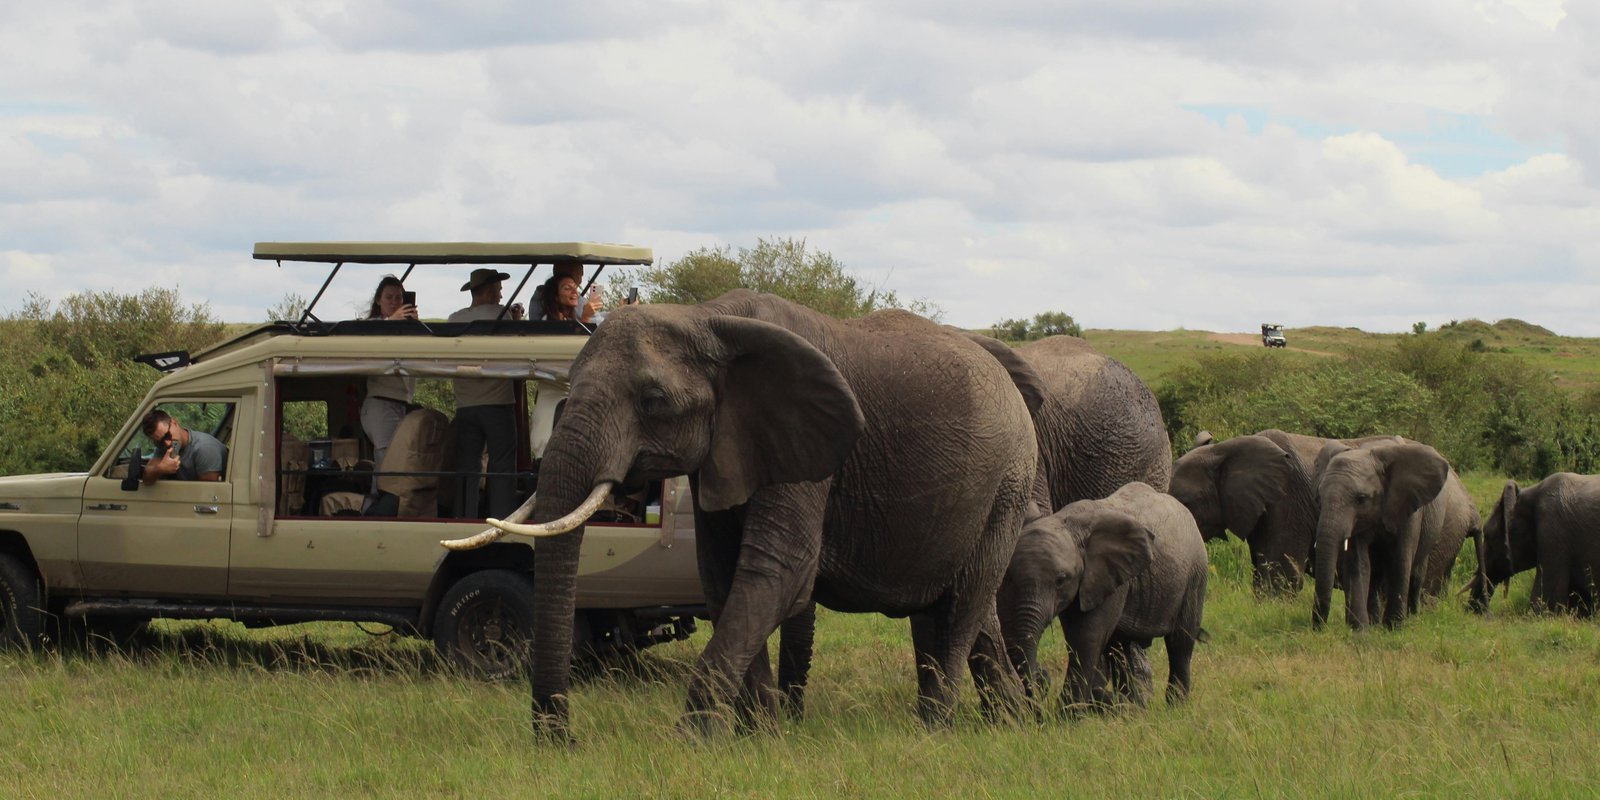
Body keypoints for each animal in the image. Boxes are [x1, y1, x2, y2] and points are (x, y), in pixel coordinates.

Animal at [446, 289, 1040, 739]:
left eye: (654, 402)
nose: (562, 740)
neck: (705, 317)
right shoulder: (728, 450)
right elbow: (722, 576)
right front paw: (760, 738)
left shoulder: (807, 449)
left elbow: (778, 572)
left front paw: (691, 743)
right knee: (956, 607)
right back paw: (1010, 724)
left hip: (1007, 483)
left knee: (962, 605)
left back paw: (934, 729)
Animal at [996, 482, 1208, 712]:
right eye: (1008, 578)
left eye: (1061, 580)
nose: (1042, 676)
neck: (1068, 522)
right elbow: (1079, 636)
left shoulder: (1108, 578)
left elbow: (1086, 637)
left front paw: (1069, 714)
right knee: (1120, 648)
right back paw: (1133, 708)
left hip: (1195, 574)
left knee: (1180, 642)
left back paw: (1175, 706)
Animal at [1311, 439, 1480, 629]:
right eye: (1319, 497)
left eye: (1361, 499)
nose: (1319, 628)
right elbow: (1358, 564)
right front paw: (1361, 630)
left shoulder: (1408, 508)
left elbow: (1400, 560)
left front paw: (1393, 628)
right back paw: (1374, 622)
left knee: (1417, 574)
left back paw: (1412, 618)